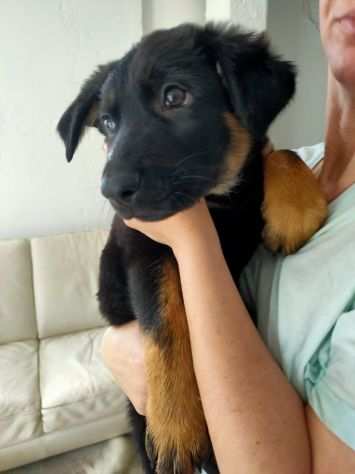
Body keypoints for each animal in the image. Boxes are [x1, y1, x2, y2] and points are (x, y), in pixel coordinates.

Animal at [58, 23, 328, 474]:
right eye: (108, 123)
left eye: (175, 96)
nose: (111, 190)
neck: (217, 202)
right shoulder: (141, 246)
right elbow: (165, 326)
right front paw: (176, 428)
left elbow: (276, 152)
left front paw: (296, 206)